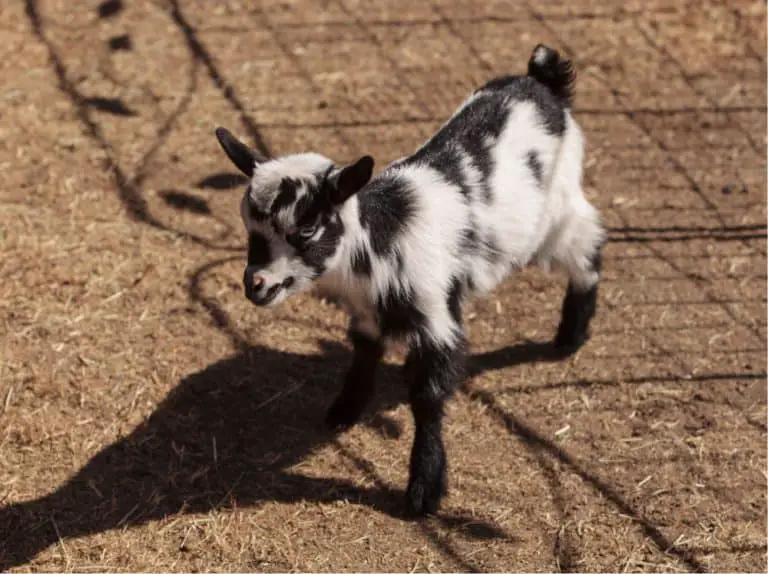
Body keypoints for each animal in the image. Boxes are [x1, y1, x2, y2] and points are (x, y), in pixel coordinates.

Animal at [213, 44, 605, 516]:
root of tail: (541, 80)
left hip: (558, 212)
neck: (380, 241)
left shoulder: (436, 318)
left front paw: (424, 489)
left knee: (588, 247)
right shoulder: (368, 313)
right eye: (249, 226)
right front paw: (345, 410)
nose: (256, 283)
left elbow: (428, 398)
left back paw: (571, 335)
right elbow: (364, 355)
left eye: (305, 230)